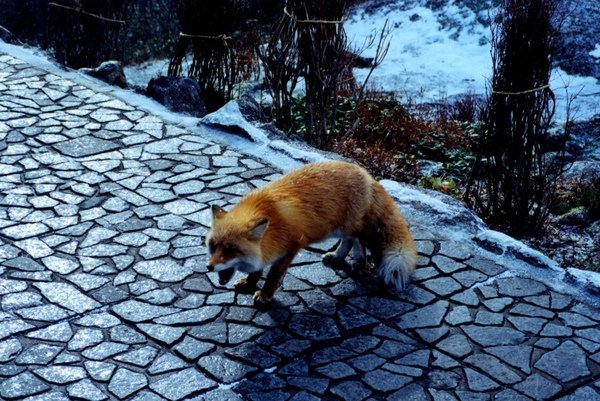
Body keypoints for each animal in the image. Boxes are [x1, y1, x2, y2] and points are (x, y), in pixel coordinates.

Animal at [206, 159, 418, 304]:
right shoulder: (266, 249)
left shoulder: (289, 249)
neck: (270, 216)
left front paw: (265, 295)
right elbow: (257, 271)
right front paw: (249, 283)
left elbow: (273, 277)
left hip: (347, 226)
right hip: (335, 228)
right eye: (212, 247)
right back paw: (338, 257)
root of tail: (365, 173)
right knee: (349, 240)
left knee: (360, 239)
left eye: (231, 250)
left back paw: (359, 262)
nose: (209, 267)